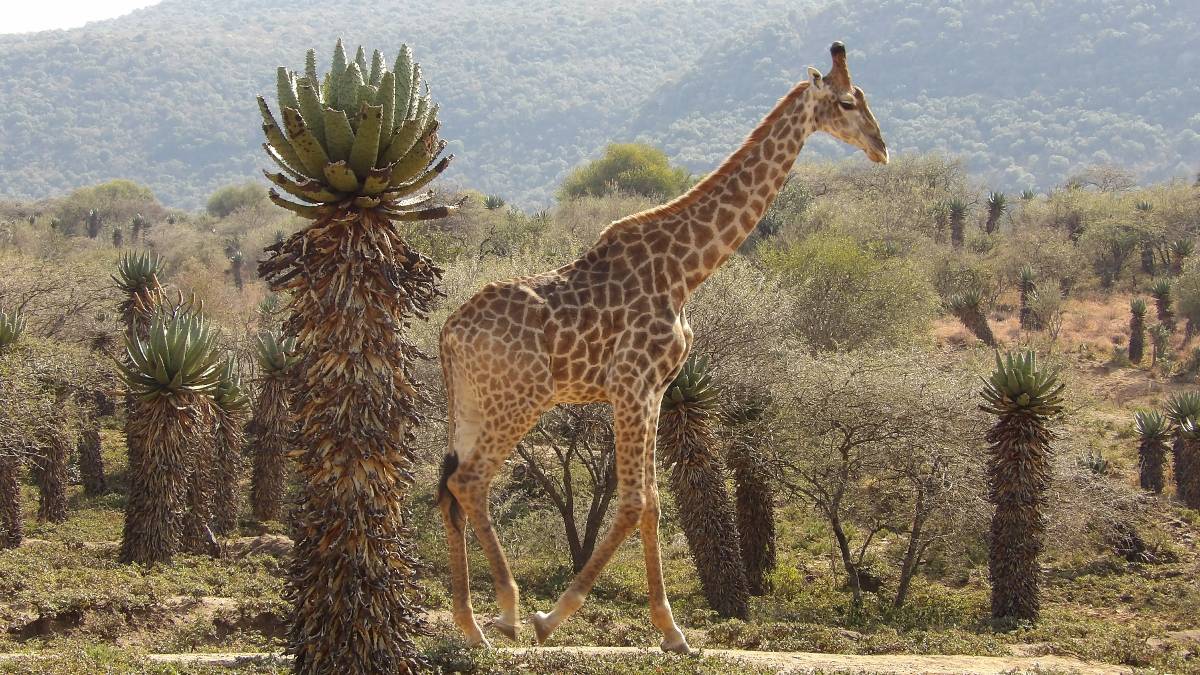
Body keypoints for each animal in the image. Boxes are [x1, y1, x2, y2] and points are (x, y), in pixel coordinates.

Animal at [436, 43, 888, 653]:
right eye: (846, 102)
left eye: (863, 96)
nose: (881, 148)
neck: (685, 270)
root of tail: (448, 333)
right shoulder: (632, 383)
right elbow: (633, 502)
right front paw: (551, 618)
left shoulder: (654, 390)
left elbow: (650, 503)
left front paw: (673, 632)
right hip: (520, 397)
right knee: (470, 480)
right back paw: (506, 611)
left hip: (472, 402)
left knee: (449, 486)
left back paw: (471, 625)